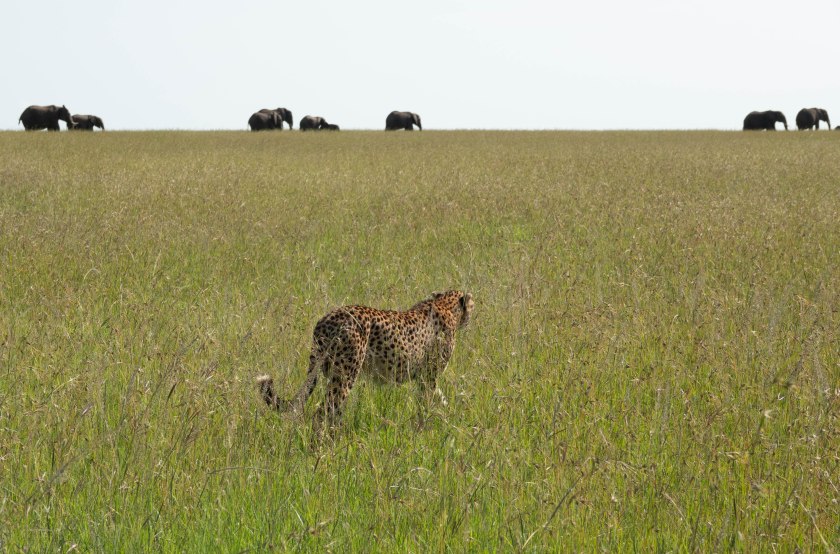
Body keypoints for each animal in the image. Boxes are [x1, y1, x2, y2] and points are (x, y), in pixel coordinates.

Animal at [257, 290, 474, 430]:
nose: (472, 314)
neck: (445, 304)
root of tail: (327, 320)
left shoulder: (424, 377)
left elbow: (440, 398)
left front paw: (451, 415)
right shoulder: (429, 376)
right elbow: (427, 402)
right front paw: (426, 426)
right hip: (345, 375)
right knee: (323, 412)